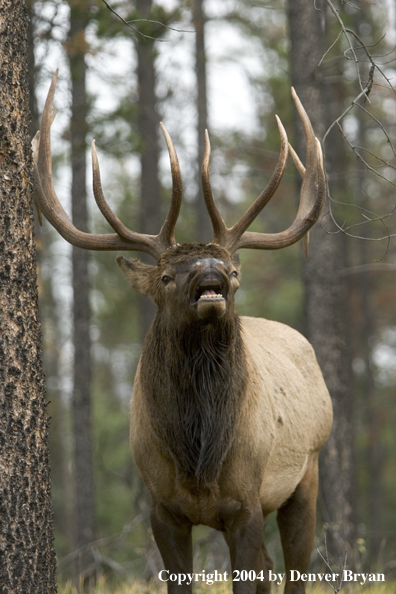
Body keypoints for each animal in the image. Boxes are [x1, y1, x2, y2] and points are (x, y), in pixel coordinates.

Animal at [34, 71, 332, 588]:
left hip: (306, 474)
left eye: (234, 271)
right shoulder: (162, 507)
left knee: (294, 570)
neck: (198, 459)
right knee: (271, 569)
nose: (211, 273)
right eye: (167, 276)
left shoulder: (246, 503)